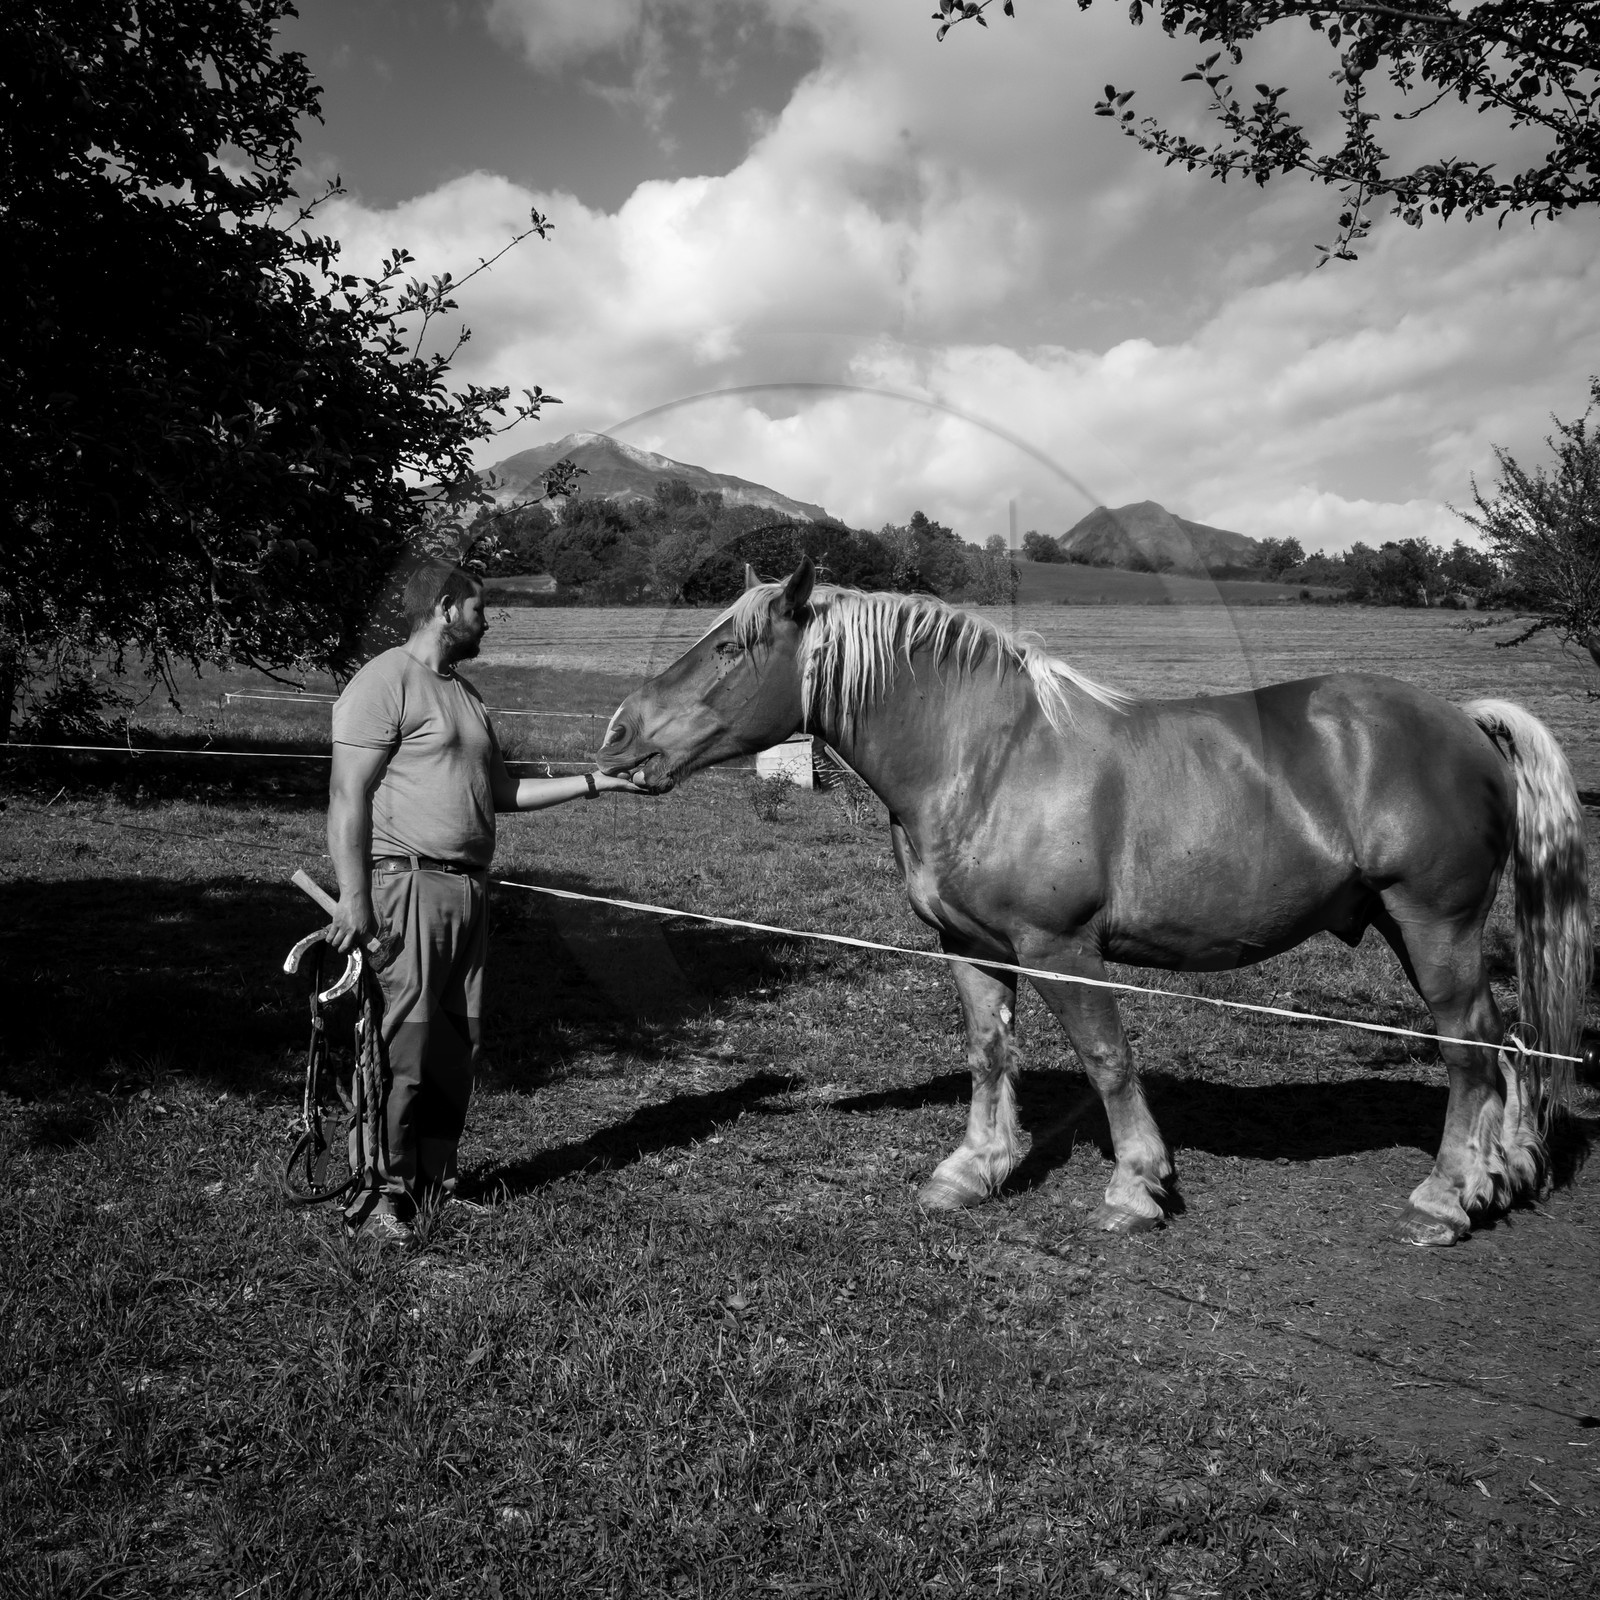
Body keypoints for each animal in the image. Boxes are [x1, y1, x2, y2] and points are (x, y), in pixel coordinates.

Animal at [598, 558, 1591, 1245]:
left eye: (729, 647)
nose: (619, 735)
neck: (989, 757)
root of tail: (1464, 721)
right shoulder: (970, 946)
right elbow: (988, 1054)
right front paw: (975, 1170)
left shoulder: (1061, 950)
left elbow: (1107, 1062)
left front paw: (1136, 1188)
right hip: (1409, 928)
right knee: (1502, 1046)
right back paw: (1500, 1176)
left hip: (1434, 925)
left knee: (1469, 1051)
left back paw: (1445, 1198)